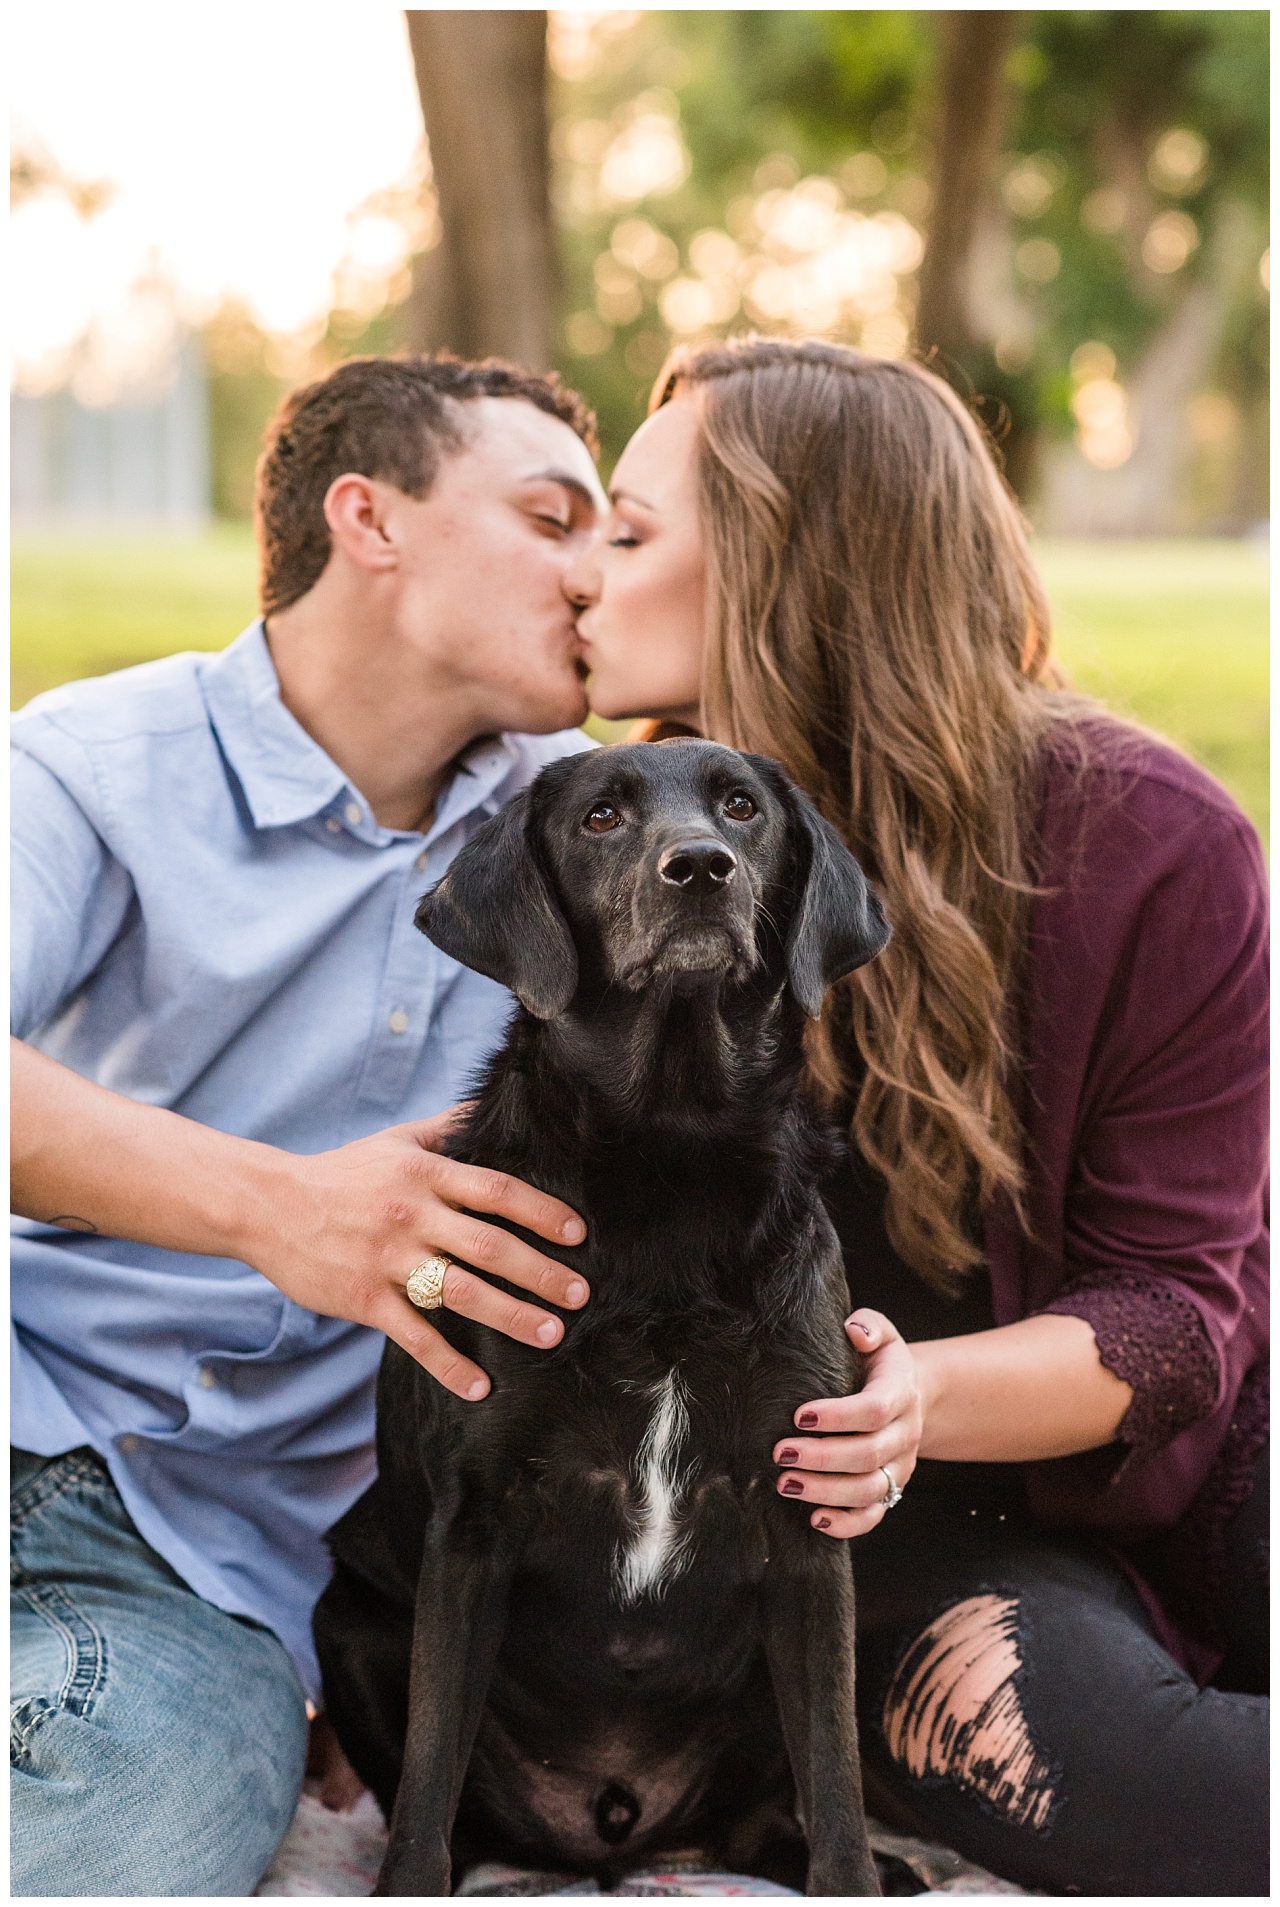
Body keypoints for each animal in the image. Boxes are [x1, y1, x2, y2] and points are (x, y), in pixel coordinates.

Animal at [314, 732, 892, 1891]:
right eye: (600, 817)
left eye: (741, 806)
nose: (701, 867)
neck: (668, 1155)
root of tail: (615, 1829)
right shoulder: (475, 1524)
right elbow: (426, 1786)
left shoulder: (810, 1523)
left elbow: (837, 1779)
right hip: (349, 1619)